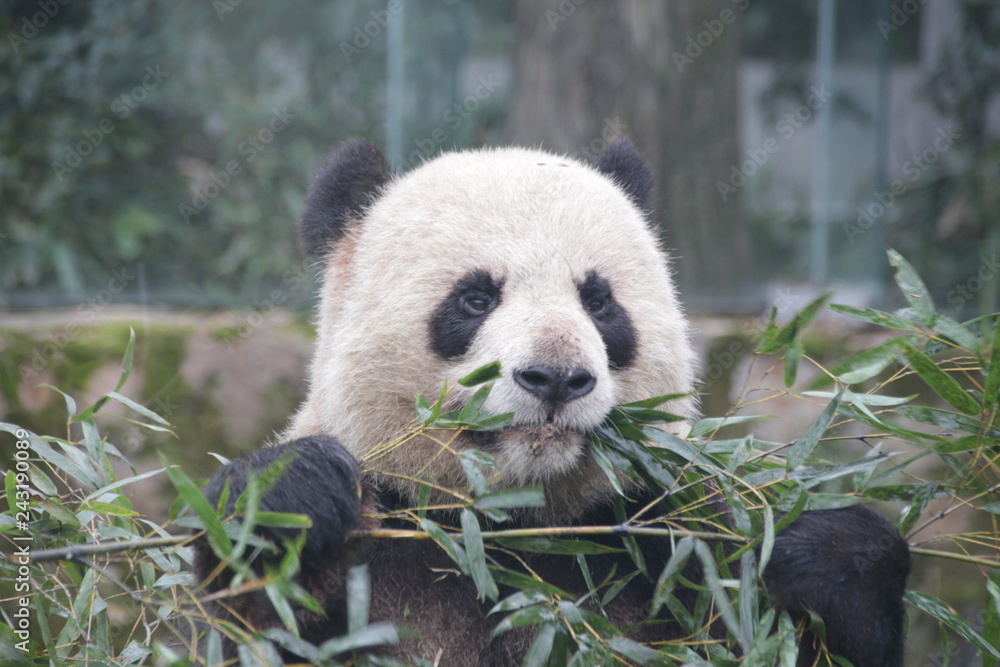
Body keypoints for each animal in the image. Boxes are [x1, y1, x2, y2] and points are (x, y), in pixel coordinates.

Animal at [196, 138, 911, 665]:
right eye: (475, 298)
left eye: (598, 301)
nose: (557, 379)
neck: (515, 525)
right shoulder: (377, 542)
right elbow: (250, 616)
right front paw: (287, 496)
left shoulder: (664, 541)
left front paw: (827, 556)